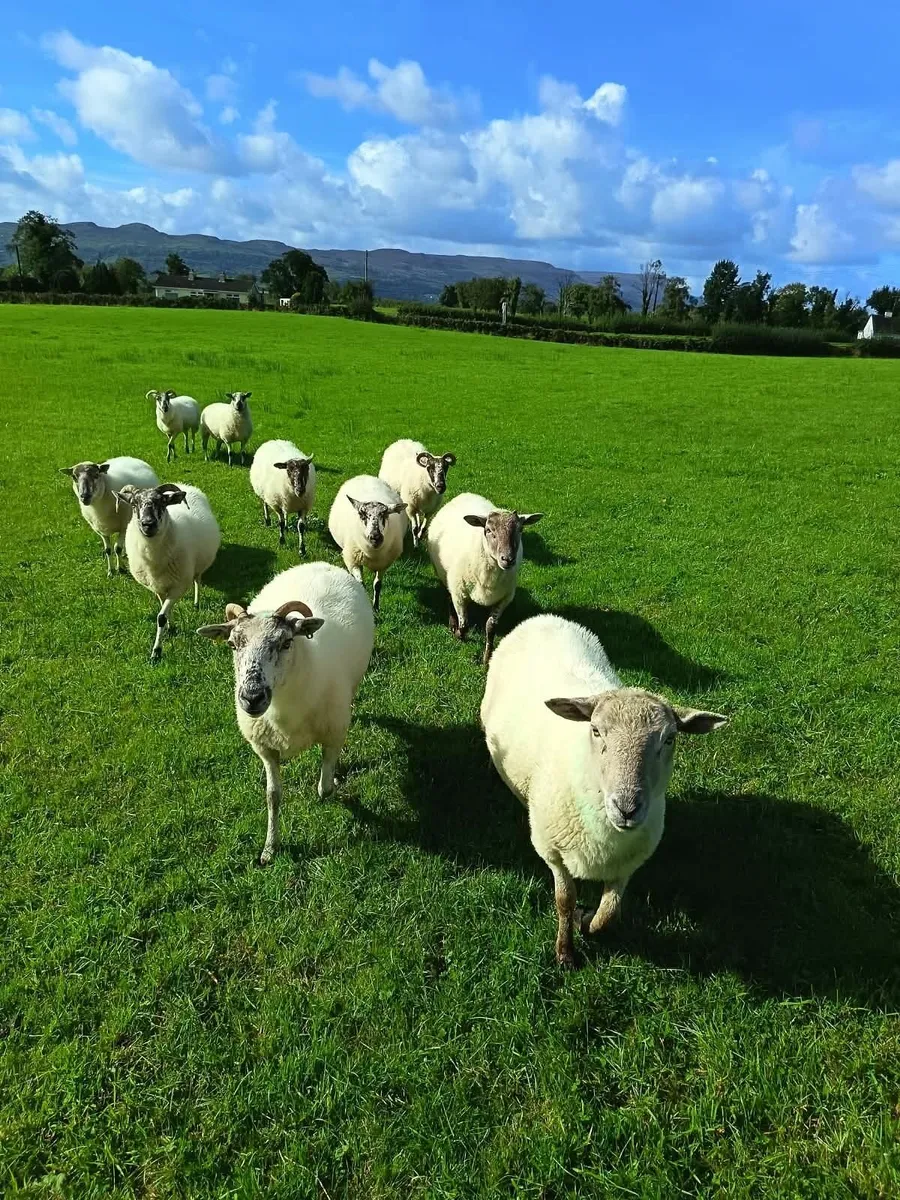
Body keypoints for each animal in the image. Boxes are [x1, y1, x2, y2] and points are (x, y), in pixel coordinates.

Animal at [116, 483, 221, 660]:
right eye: (134, 504)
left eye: (162, 502)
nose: (148, 524)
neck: (155, 561)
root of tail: (185, 484)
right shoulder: (157, 587)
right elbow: (164, 610)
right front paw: (171, 628)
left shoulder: (178, 587)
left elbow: (161, 617)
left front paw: (156, 652)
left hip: (198, 566)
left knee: (197, 580)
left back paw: (196, 602)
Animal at [196, 562, 375, 864]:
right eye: (233, 645)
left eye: (287, 642)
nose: (251, 698)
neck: (284, 716)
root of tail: (320, 564)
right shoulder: (265, 748)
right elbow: (272, 796)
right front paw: (270, 847)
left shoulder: (334, 733)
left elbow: (324, 789)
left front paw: (336, 787)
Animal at [327, 475, 408, 611]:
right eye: (362, 514)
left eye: (385, 514)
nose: (375, 537)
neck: (373, 553)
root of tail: (364, 476)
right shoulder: (353, 561)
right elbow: (361, 585)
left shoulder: (383, 564)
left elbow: (377, 585)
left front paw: (376, 607)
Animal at [427, 492, 543, 664]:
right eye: (488, 530)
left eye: (520, 529)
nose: (508, 559)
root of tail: (465, 494)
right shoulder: (459, 593)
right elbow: (465, 624)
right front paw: (459, 635)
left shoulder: (504, 598)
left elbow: (490, 627)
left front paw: (487, 658)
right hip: (444, 575)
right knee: (448, 597)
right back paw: (452, 623)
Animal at [481, 614, 727, 968]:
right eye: (596, 730)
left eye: (669, 739)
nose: (627, 808)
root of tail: (544, 618)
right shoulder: (552, 851)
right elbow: (564, 900)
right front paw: (565, 952)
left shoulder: (629, 862)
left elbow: (609, 913)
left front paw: (587, 923)